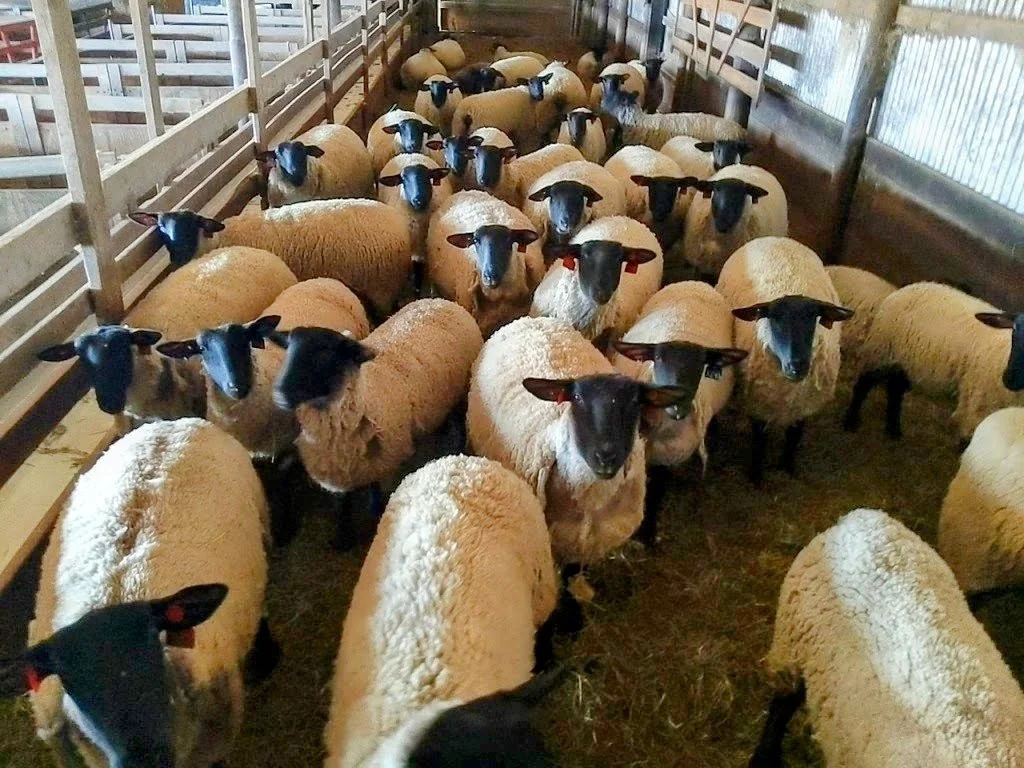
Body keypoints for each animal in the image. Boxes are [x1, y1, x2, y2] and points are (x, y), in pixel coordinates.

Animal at [129, 200, 414, 320]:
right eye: (162, 230)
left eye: (192, 228)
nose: (179, 258)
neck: (217, 240)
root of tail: (398, 221)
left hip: (382, 285)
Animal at [270, 299, 483, 549]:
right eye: (288, 350)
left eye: (324, 355)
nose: (280, 393)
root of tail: (440, 301)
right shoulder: (343, 468)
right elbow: (343, 503)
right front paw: (343, 537)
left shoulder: (381, 460)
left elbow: (374, 493)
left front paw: (373, 514)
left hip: (460, 395)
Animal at [612, 282, 746, 543]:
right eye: (658, 359)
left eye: (701, 364)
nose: (678, 402)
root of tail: (695, 282)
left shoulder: (667, 456)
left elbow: (657, 489)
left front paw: (648, 533)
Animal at [716, 237, 853, 484]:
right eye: (774, 319)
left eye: (813, 319)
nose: (797, 366)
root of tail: (775, 238)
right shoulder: (758, 404)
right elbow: (759, 440)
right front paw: (756, 476)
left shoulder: (803, 408)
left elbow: (794, 437)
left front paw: (787, 468)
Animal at [844, 283, 1023, 442]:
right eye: (1013, 330)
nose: (1008, 379)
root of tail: (907, 288)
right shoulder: (977, 407)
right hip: (881, 349)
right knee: (865, 382)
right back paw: (851, 421)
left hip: (904, 362)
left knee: (895, 389)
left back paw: (893, 430)